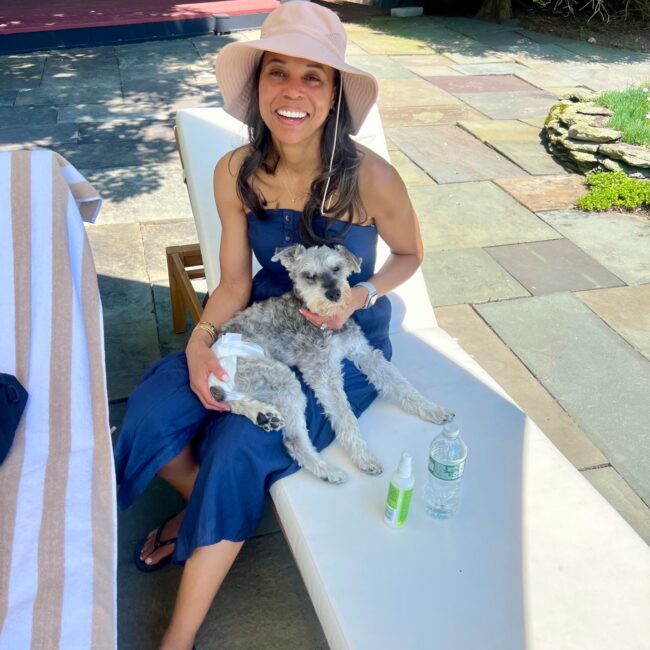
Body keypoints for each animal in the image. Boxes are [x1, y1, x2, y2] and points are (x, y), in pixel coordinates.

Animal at [211, 243, 450, 480]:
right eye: (309, 275)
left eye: (337, 268)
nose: (334, 293)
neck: (323, 321)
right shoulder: (324, 374)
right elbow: (345, 416)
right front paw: (364, 458)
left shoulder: (364, 352)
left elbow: (399, 384)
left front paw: (433, 409)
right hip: (280, 378)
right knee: (292, 440)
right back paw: (328, 470)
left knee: (232, 403)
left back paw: (263, 415)